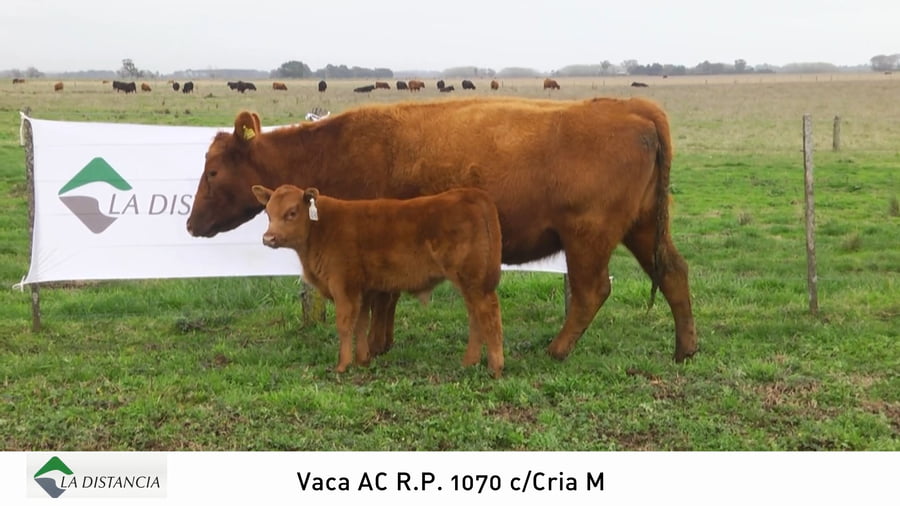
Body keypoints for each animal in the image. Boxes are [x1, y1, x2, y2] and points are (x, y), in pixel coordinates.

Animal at [252, 185, 505, 377]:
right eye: (268, 213)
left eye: (292, 212)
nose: (268, 238)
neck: (321, 229)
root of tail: (470, 193)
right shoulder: (363, 289)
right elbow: (362, 323)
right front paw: (363, 359)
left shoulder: (344, 285)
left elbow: (345, 324)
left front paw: (343, 365)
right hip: (470, 283)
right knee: (475, 317)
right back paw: (470, 362)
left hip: (474, 280)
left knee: (488, 314)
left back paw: (495, 367)